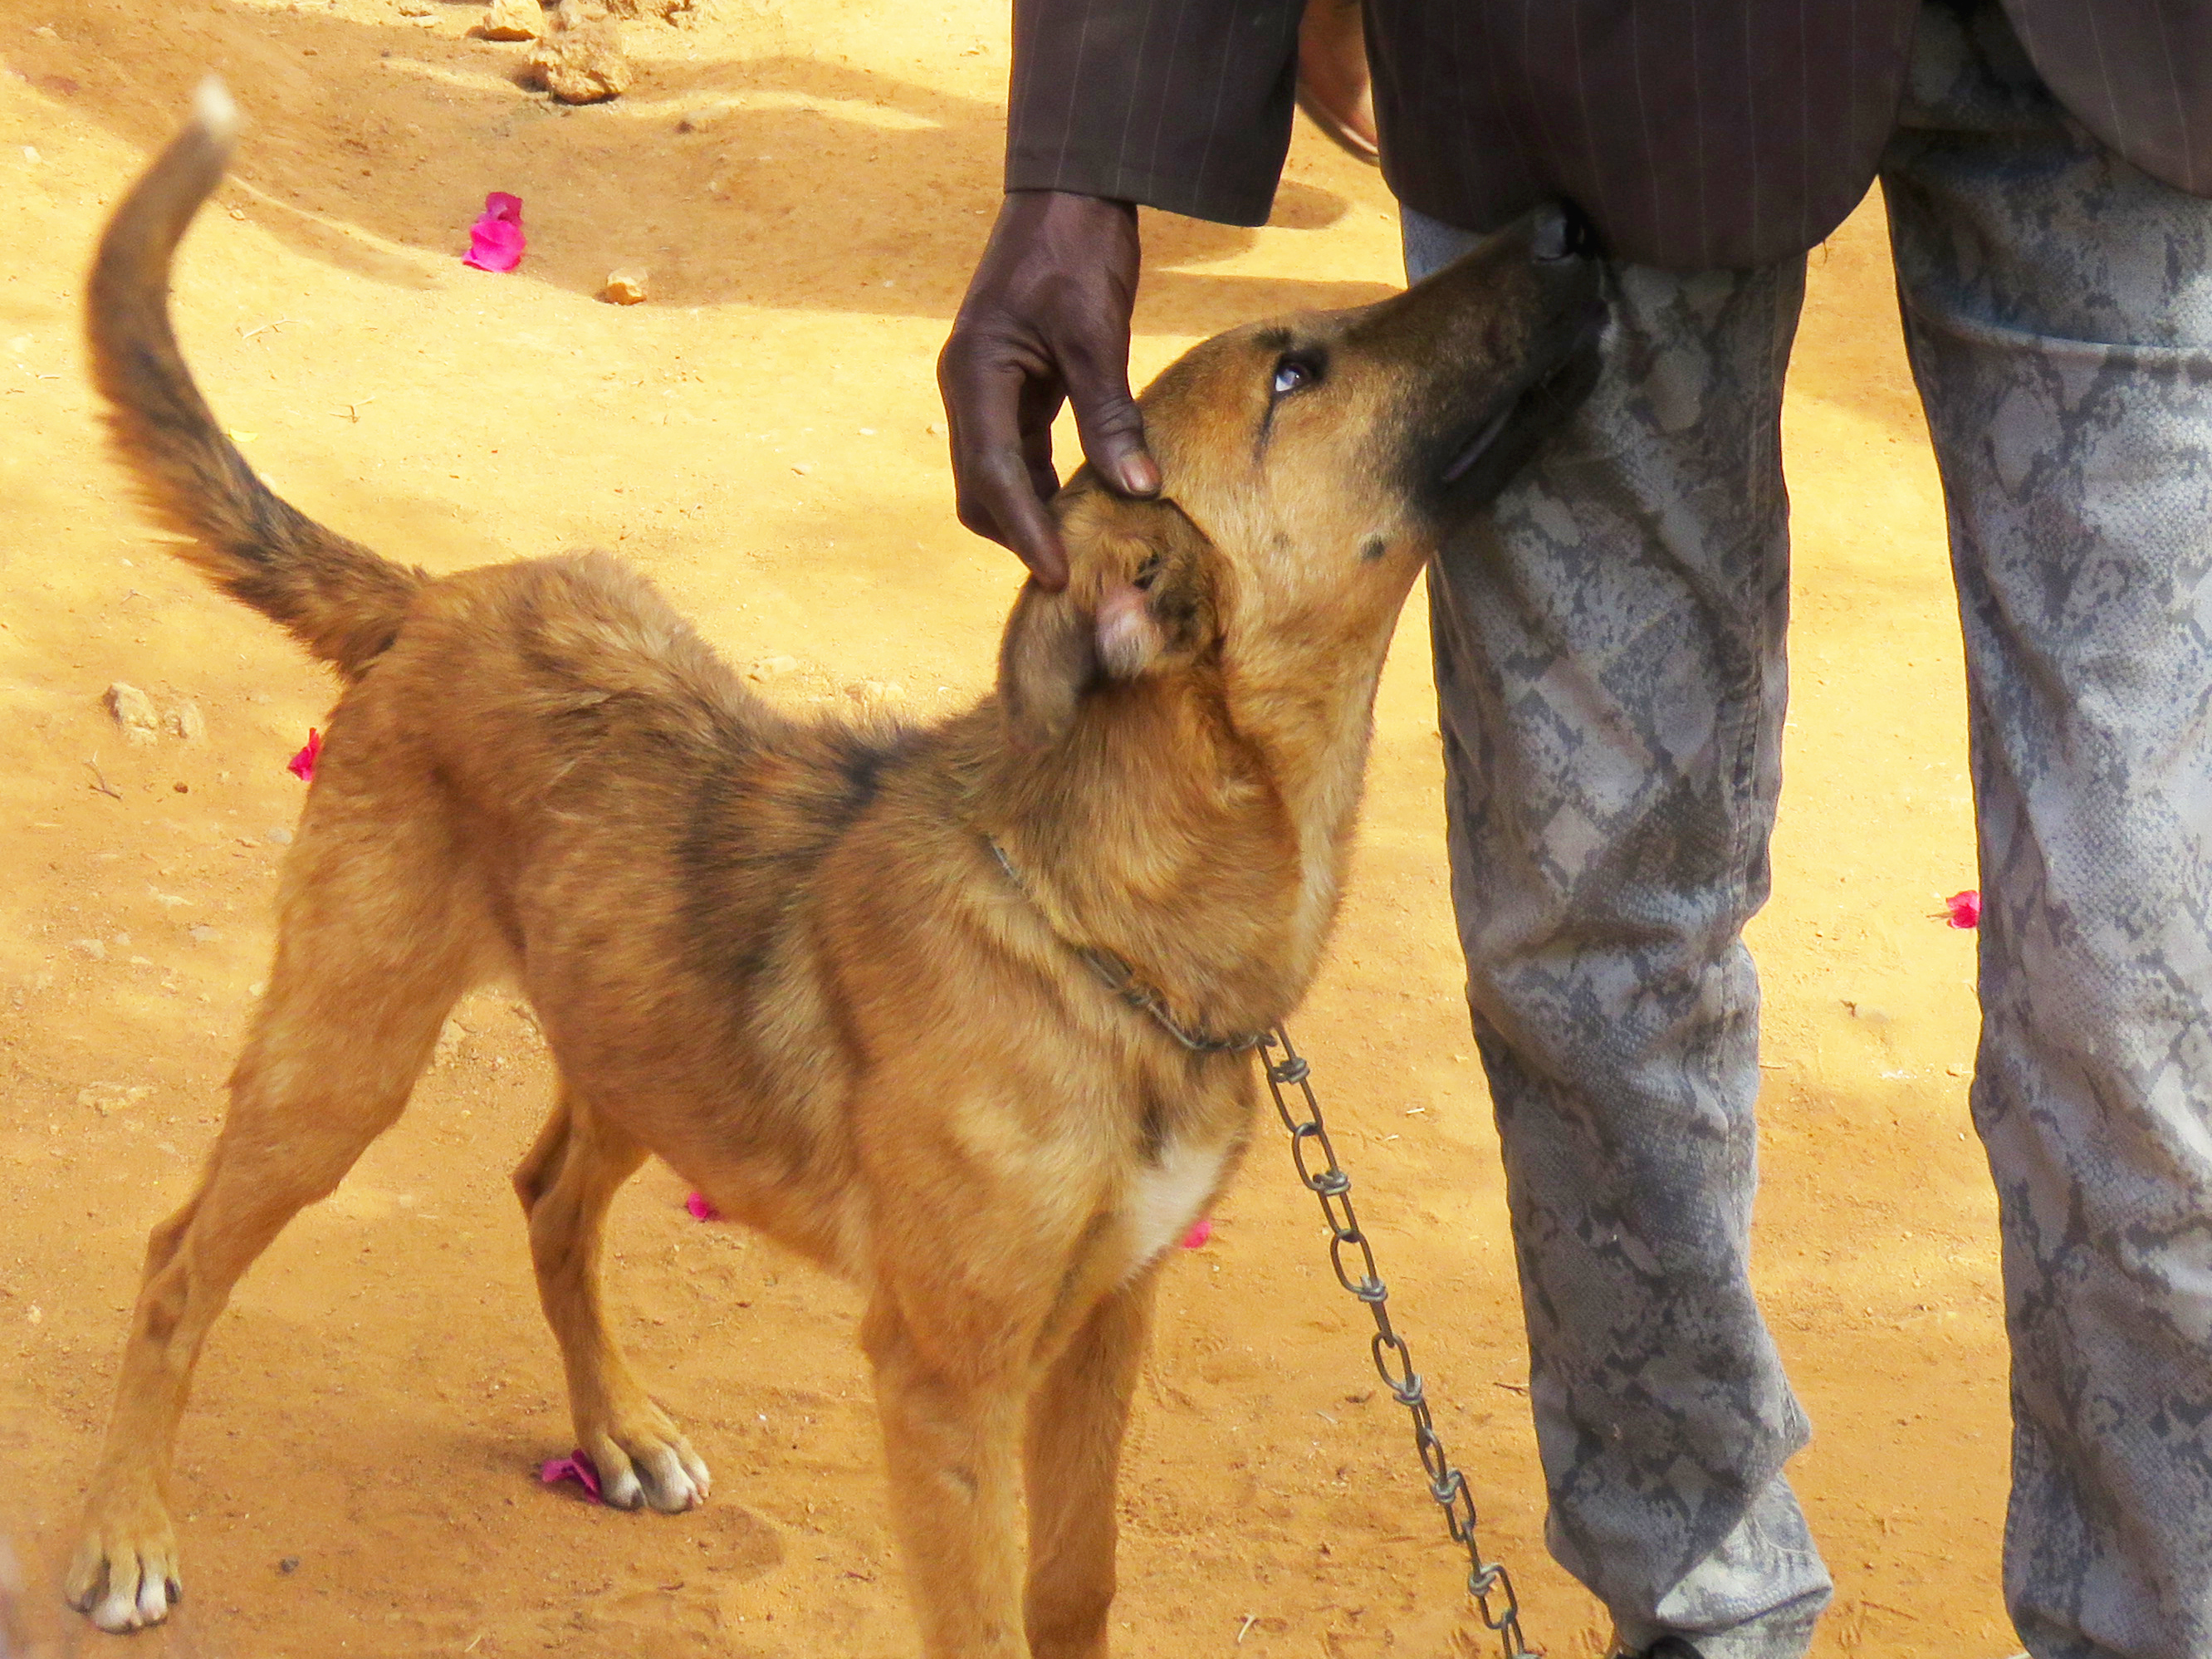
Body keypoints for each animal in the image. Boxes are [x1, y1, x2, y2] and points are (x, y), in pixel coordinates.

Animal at [64, 84, 1593, 1659]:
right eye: (1295, 371)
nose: (1566, 219)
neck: (1105, 932)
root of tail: (431, 600)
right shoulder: (945, 1379)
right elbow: (987, 1622)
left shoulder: (1109, 1315)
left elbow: (1076, 1587)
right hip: (346, 1058)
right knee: (175, 1257)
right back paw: (127, 1530)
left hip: (639, 1043)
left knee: (548, 1196)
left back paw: (615, 1431)